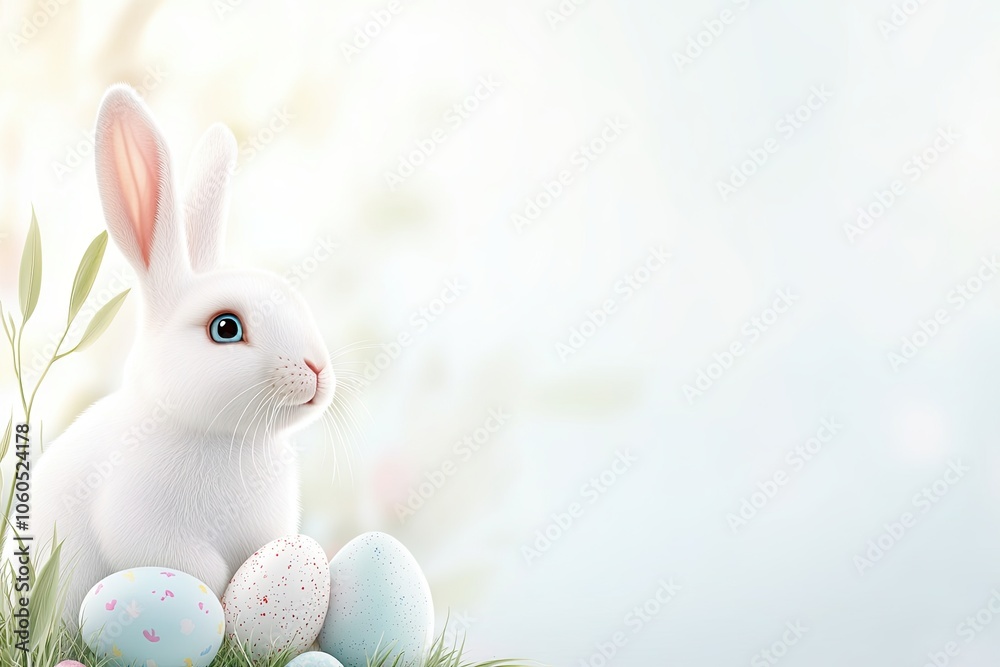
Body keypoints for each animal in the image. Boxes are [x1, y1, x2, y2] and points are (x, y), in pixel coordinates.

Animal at [15, 84, 336, 629]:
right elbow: (194, 568)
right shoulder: (140, 523)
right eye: (226, 328)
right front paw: (217, 604)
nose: (317, 370)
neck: (225, 440)